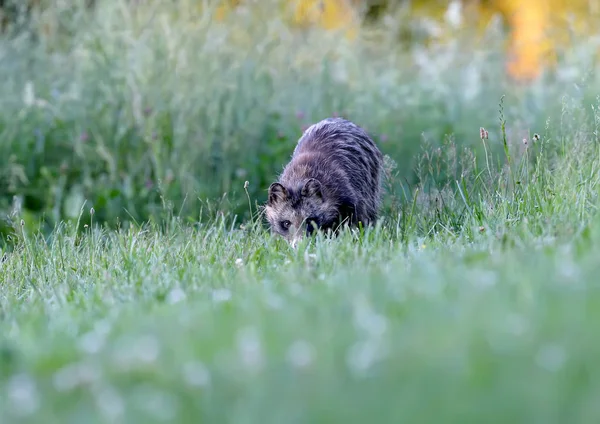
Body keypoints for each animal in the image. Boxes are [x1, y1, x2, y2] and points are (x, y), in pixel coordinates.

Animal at [264, 117, 384, 247]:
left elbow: (352, 220)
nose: (300, 245)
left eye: (309, 221)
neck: (299, 179)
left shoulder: (346, 192)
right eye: (286, 223)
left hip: (371, 180)